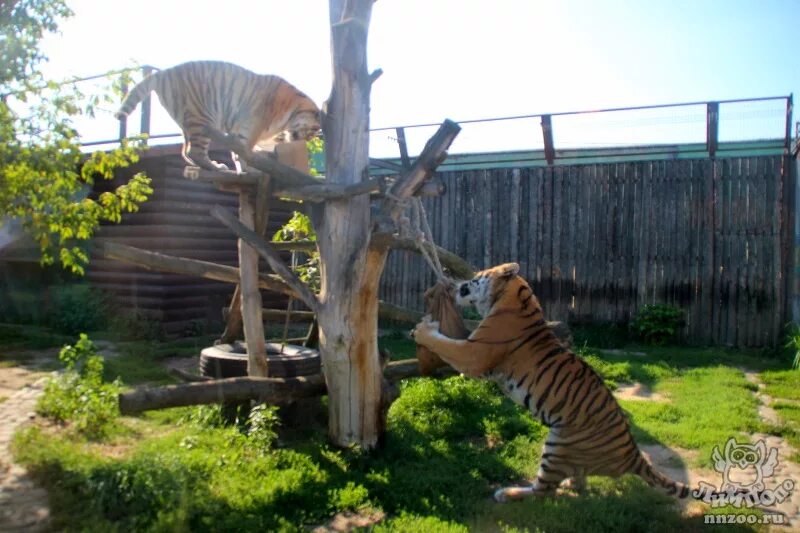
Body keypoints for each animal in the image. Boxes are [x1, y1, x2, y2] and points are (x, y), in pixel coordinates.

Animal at [115, 60, 318, 169]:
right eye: (313, 131)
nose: (304, 140)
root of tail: (163, 73)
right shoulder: (253, 126)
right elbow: (245, 149)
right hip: (203, 120)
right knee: (196, 152)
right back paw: (219, 168)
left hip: (188, 123)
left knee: (186, 151)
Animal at [412, 264, 744, 504]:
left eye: (476, 276)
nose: (456, 280)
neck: (519, 298)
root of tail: (633, 455)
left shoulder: (474, 354)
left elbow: (445, 343)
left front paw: (422, 329)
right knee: (576, 482)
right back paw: (571, 482)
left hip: (558, 444)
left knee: (544, 491)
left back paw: (508, 492)